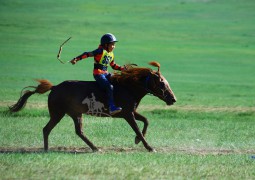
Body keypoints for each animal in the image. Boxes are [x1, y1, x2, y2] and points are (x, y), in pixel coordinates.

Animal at [8, 61, 176, 152]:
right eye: (162, 83)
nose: (173, 99)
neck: (128, 87)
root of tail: (54, 87)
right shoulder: (127, 114)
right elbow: (138, 129)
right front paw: (149, 147)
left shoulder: (131, 112)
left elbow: (146, 121)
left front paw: (137, 141)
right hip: (58, 113)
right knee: (47, 129)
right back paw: (47, 149)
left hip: (75, 114)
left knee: (78, 131)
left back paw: (94, 147)